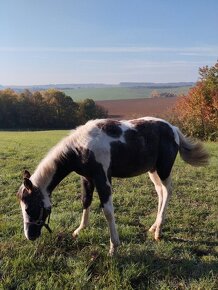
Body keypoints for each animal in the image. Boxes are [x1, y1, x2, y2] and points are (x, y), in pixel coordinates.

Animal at [16, 116, 209, 255]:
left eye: (29, 208)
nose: (30, 236)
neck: (81, 148)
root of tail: (173, 129)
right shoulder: (87, 179)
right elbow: (85, 201)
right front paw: (79, 230)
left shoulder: (103, 178)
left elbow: (108, 211)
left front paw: (113, 247)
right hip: (152, 171)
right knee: (160, 192)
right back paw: (154, 226)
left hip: (163, 169)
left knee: (168, 191)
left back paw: (158, 232)